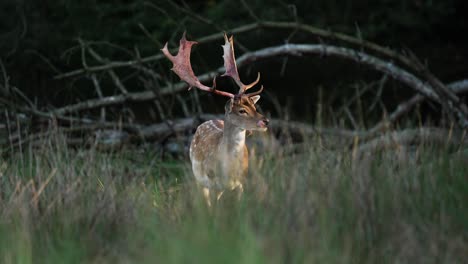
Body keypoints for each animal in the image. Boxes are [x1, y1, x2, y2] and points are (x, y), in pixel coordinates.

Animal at [163, 33, 268, 205]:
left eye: (254, 106)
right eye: (242, 110)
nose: (265, 121)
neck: (228, 169)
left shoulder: (241, 182)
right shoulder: (212, 182)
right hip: (199, 178)